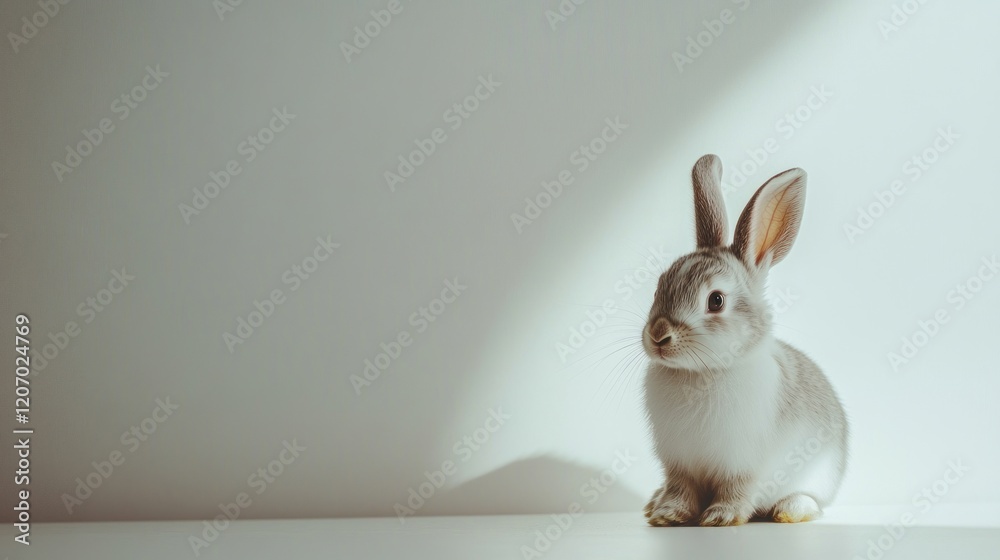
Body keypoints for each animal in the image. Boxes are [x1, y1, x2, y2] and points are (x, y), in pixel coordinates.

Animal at [641, 154, 848, 526]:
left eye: (716, 301)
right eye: (659, 287)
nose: (658, 335)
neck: (704, 371)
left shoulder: (743, 465)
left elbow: (736, 489)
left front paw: (719, 517)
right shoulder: (679, 465)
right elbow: (680, 488)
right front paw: (668, 515)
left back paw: (790, 511)